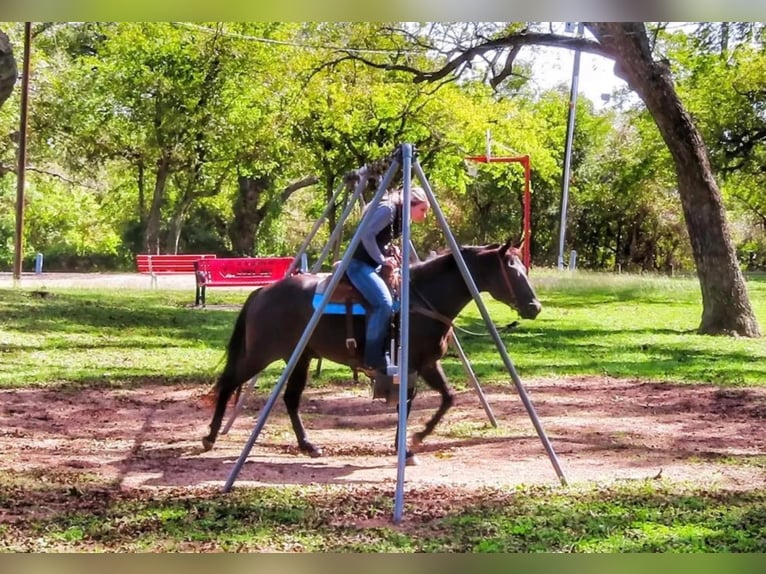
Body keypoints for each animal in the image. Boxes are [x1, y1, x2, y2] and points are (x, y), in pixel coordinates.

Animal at [201, 240, 544, 464]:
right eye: (511, 269)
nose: (535, 307)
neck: (421, 299)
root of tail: (263, 291)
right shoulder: (411, 365)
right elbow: (408, 404)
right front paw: (406, 447)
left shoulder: (427, 363)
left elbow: (447, 398)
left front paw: (416, 439)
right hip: (261, 354)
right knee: (229, 383)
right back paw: (210, 436)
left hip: (300, 358)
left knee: (290, 399)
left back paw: (308, 445)